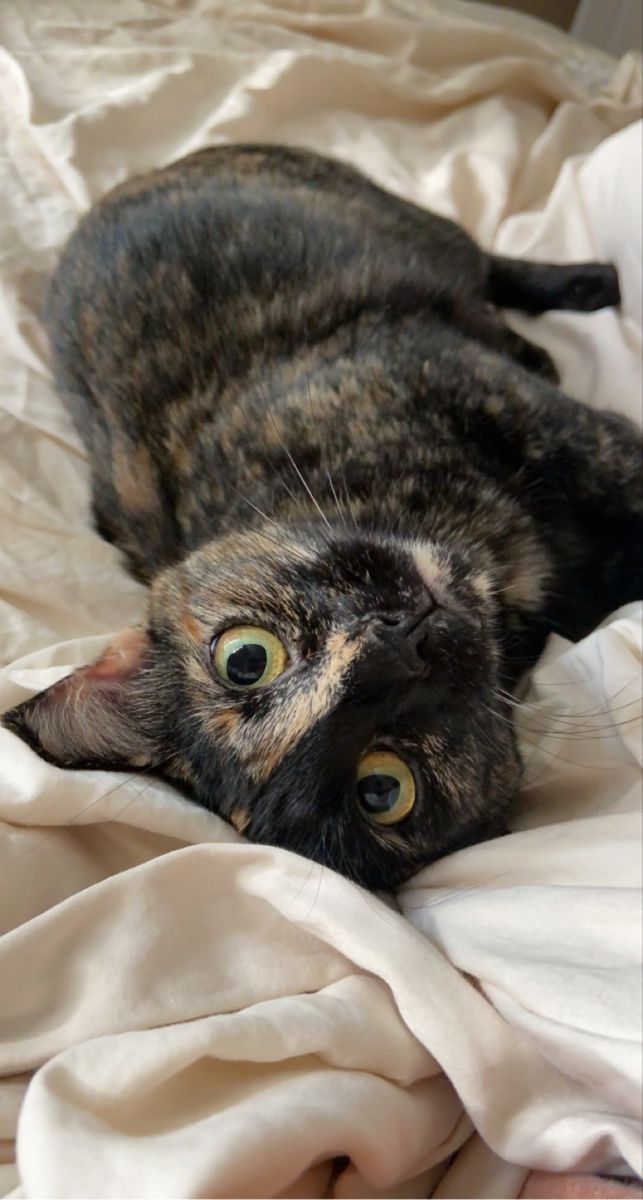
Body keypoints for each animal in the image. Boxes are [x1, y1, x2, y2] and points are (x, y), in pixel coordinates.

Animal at [2, 145, 638, 888]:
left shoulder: (514, 408)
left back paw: (584, 289)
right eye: (383, 789)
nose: (401, 646)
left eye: (247, 658)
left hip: (406, 225)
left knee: (486, 260)